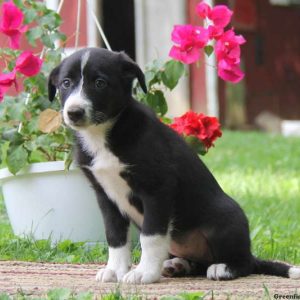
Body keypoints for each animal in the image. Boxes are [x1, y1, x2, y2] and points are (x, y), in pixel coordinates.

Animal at [47, 47, 300, 284]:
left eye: (100, 83)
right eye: (66, 83)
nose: (74, 112)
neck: (104, 135)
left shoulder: (157, 190)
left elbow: (150, 237)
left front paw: (144, 273)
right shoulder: (105, 196)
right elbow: (115, 236)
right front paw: (115, 270)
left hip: (225, 218)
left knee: (245, 263)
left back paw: (224, 268)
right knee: (195, 263)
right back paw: (177, 265)